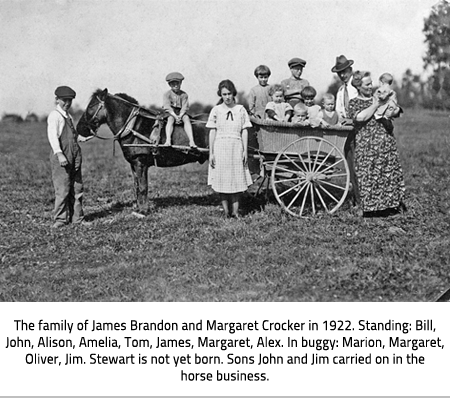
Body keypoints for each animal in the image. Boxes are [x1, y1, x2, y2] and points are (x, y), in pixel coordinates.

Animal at [77, 89, 209, 215]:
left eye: (90, 106)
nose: (79, 128)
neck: (134, 127)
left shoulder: (141, 164)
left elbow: (143, 187)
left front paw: (144, 210)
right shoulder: (134, 164)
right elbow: (136, 186)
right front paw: (137, 207)